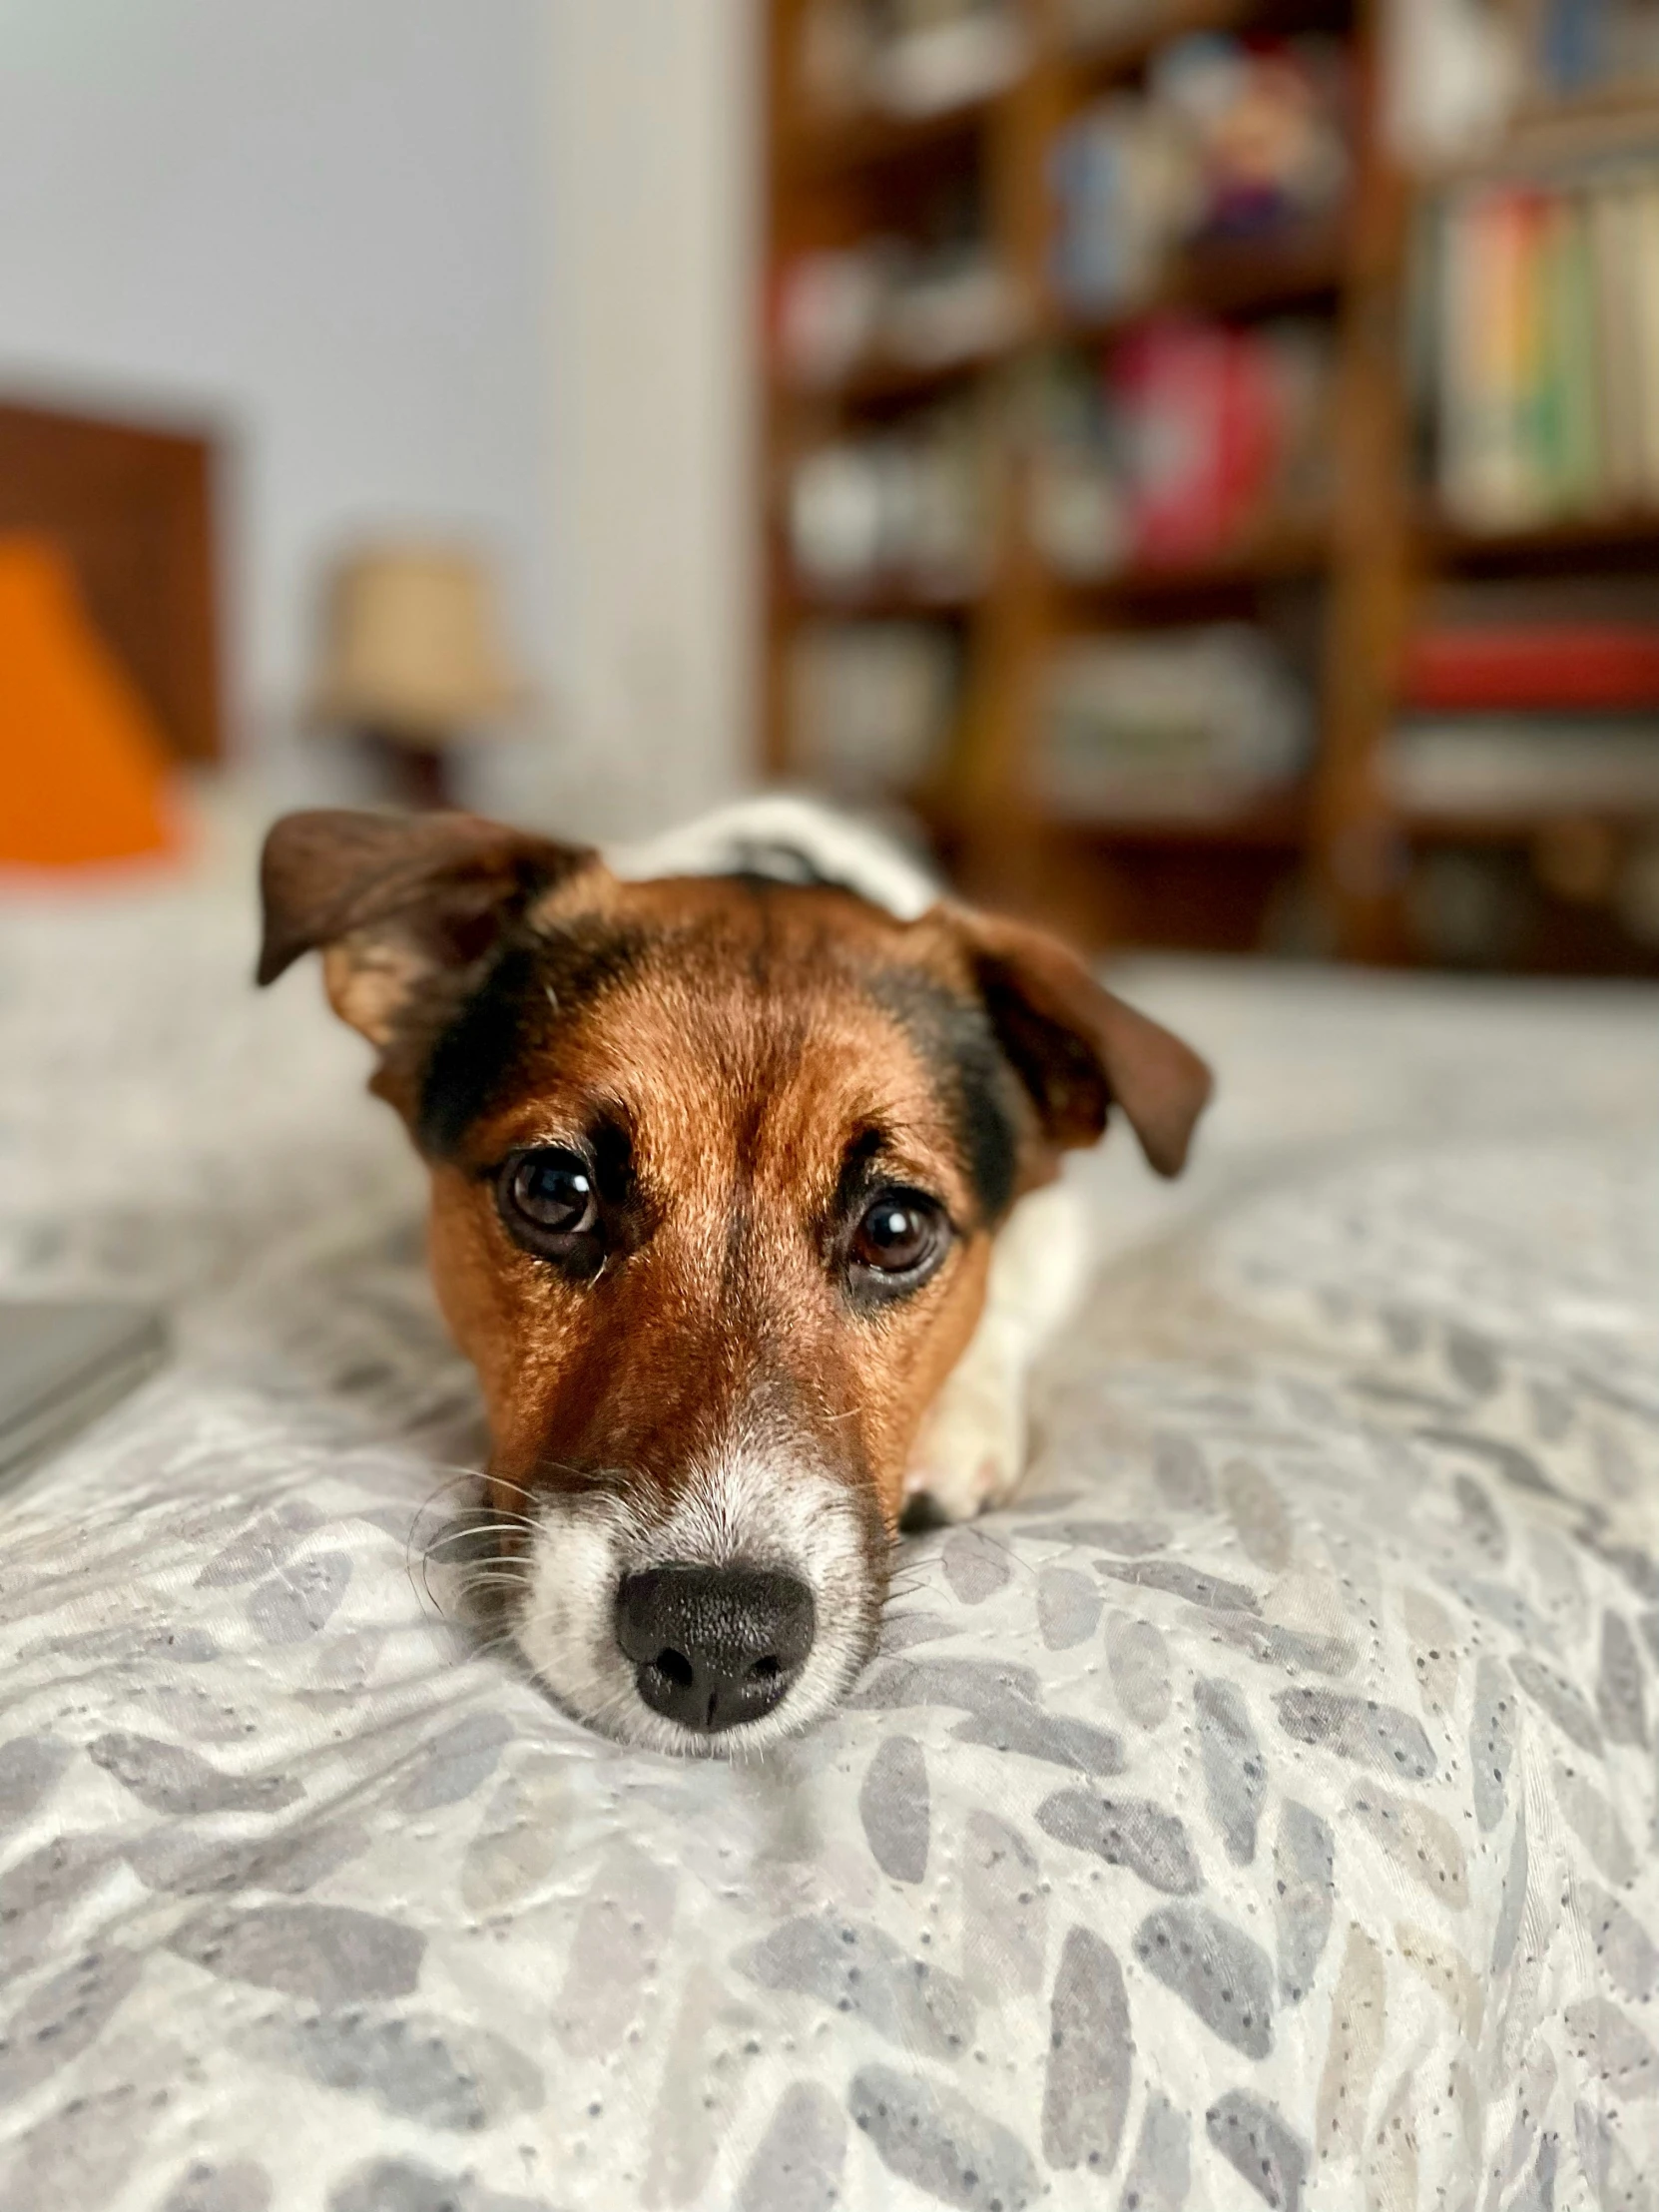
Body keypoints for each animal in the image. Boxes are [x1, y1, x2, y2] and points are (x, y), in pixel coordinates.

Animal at [257, 801, 1212, 1760]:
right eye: (554, 1188)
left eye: (896, 1230)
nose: (717, 1641)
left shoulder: (1054, 1227)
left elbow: (1008, 1302)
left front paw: (957, 1425)